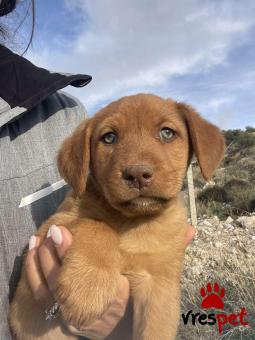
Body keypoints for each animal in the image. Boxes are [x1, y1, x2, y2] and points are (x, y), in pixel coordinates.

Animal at [8, 93, 225, 340]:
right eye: (109, 137)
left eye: (167, 133)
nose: (138, 174)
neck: (133, 222)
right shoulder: (54, 223)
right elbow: (96, 225)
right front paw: (87, 288)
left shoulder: (160, 286)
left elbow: (155, 330)